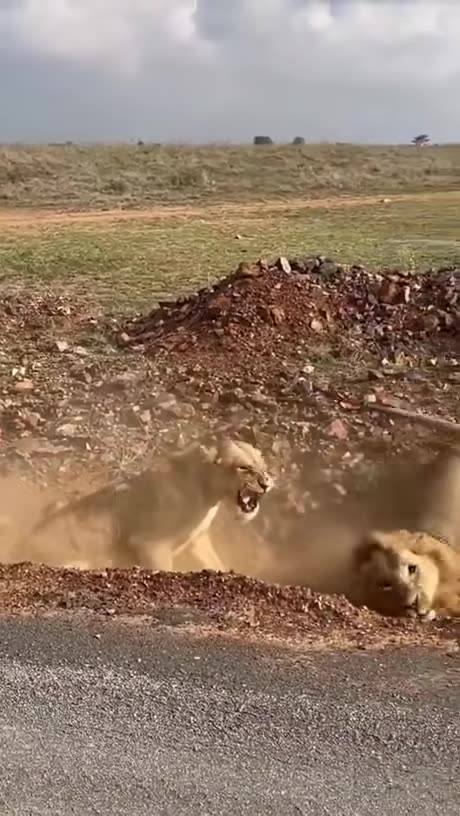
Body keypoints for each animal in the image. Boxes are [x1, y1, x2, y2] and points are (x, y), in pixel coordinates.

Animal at [11, 438, 274, 572]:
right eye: (244, 467)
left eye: (262, 465)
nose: (266, 483)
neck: (208, 494)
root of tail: (21, 546)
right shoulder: (150, 543)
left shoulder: (197, 540)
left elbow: (217, 564)